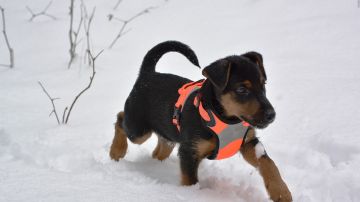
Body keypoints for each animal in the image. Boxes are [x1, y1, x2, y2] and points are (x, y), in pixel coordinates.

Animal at [109, 40, 292, 201]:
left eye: (264, 84)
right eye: (241, 89)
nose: (271, 114)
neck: (226, 119)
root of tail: (147, 74)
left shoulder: (249, 143)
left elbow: (268, 163)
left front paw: (281, 192)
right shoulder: (189, 152)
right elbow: (190, 181)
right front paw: (191, 195)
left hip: (166, 134)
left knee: (159, 149)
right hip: (138, 130)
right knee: (120, 118)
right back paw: (116, 152)